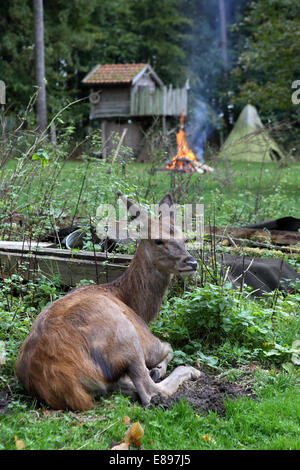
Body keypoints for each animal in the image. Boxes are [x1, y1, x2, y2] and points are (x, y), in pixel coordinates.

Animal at [15, 193, 200, 410]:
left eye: (185, 238)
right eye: (158, 240)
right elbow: (169, 347)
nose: (192, 262)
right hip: (126, 337)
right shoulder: (149, 341)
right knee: (149, 392)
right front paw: (159, 368)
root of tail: (64, 382)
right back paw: (189, 371)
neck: (135, 305)